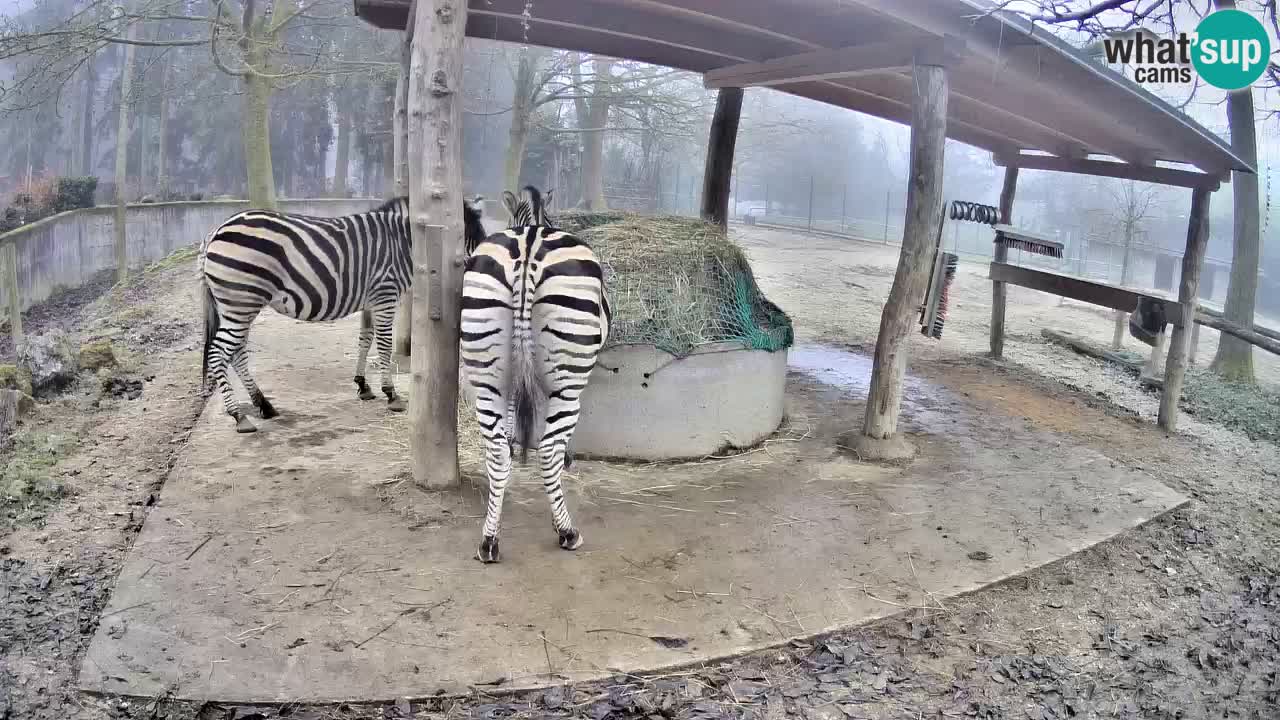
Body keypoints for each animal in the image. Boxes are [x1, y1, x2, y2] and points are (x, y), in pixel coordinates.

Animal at [200, 196, 488, 433]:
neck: (403, 242)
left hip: (238, 305)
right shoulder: (385, 294)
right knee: (218, 353)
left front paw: (363, 385)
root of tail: (216, 230)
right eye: (470, 239)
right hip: (241, 302)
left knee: (237, 352)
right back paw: (239, 416)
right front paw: (391, 394)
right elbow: (384, 345)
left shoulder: (372, 299)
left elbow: (365, 339)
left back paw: (263, 405)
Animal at [461, 186, 611, 563]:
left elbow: (513, 418)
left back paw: (489, 540)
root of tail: (528, 247)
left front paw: (515, 442)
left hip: (488, 377)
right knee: (548, 450)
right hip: (568, 383)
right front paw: (567, 458)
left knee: (496, 452)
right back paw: (567, 532)